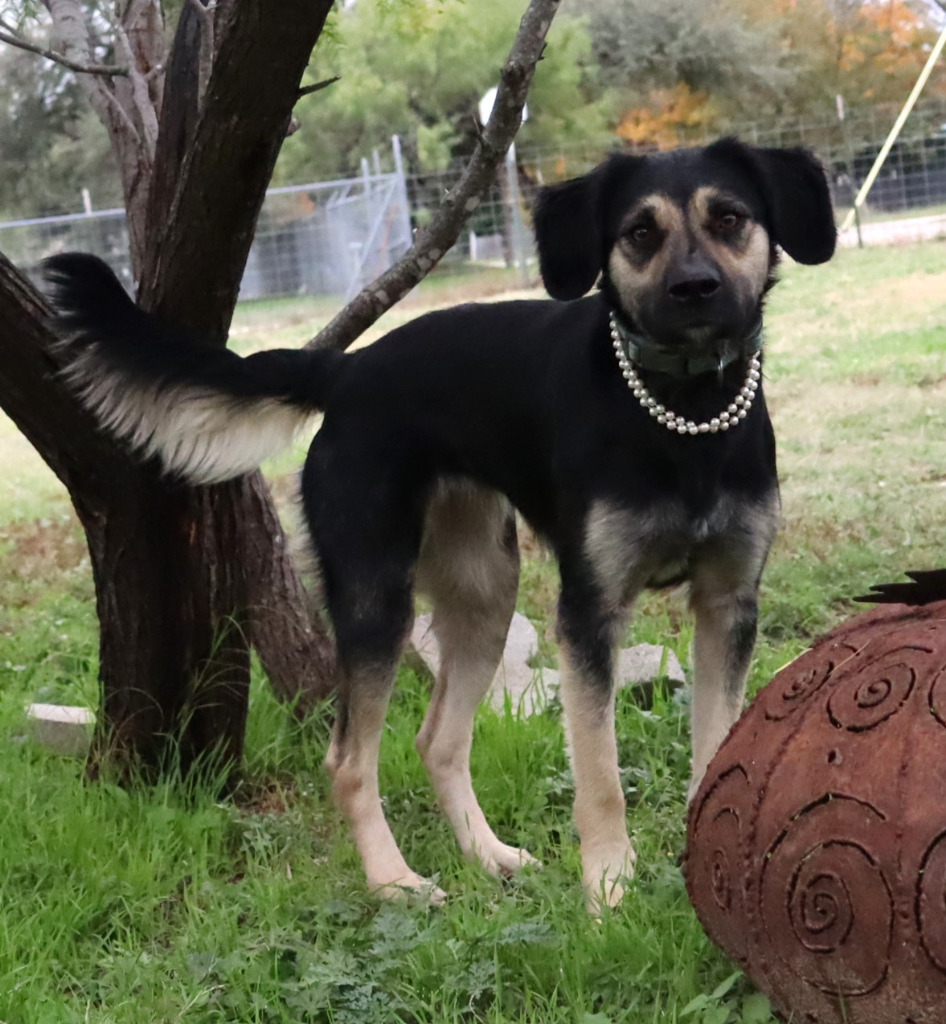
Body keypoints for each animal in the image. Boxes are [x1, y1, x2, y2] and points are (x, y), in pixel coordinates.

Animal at [46, 138, 835, 913]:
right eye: (640, 233)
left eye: (730, 218)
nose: (695, 288)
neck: (683, 416)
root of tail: (349, 369)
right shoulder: (590, 613)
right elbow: (601, 774)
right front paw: (609, 887)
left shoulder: (729, 603)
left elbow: (718, 745)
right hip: (377, 597)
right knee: (349, 759)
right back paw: (393, 881)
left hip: (485, 594)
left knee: (439, 742)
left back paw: (489, 857)